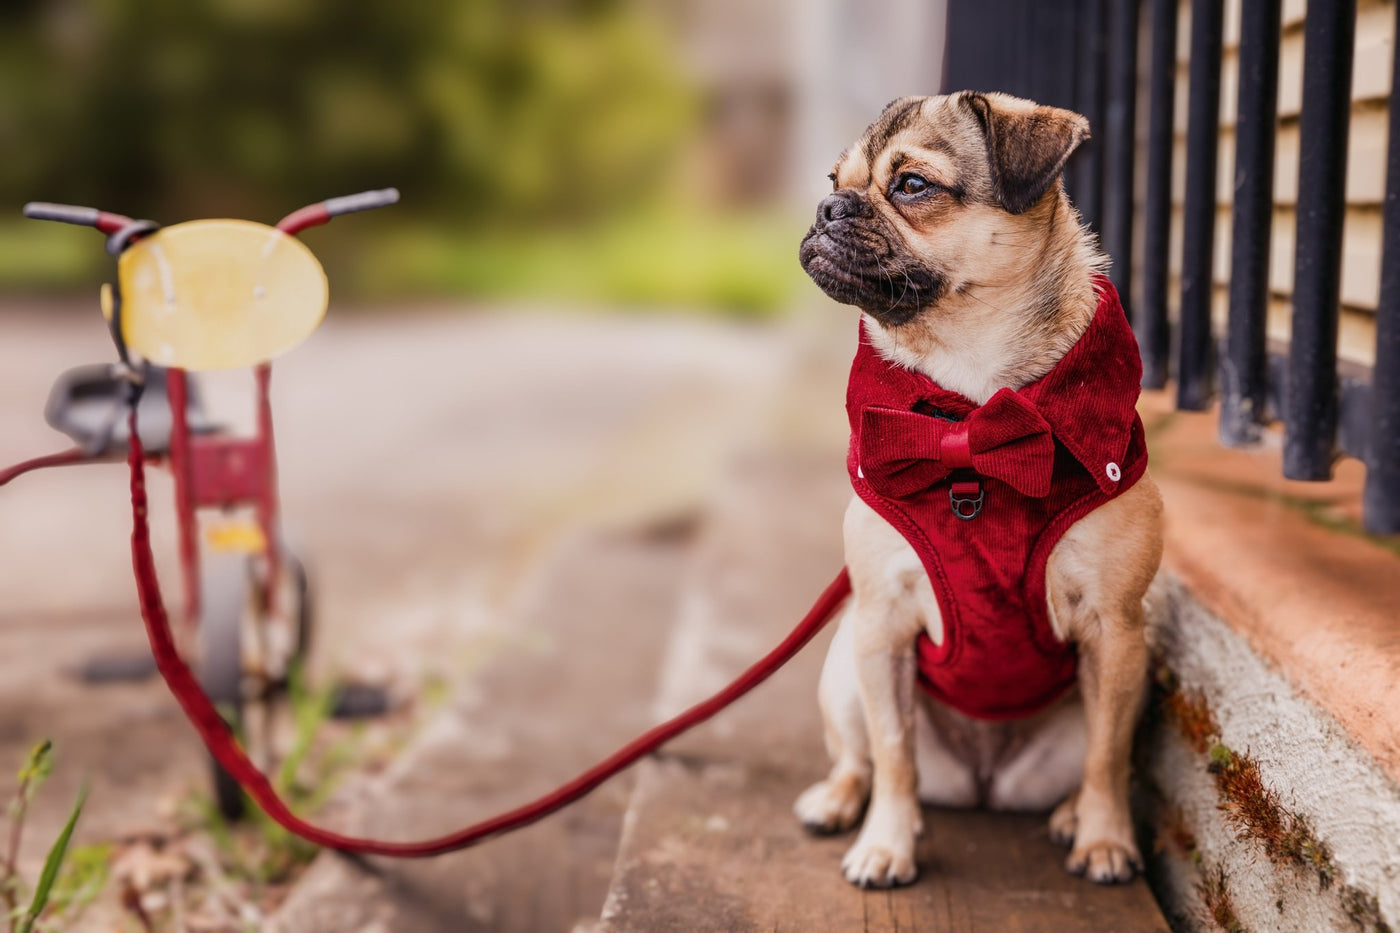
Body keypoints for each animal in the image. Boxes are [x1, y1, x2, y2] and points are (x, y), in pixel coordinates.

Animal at [795, 92, 1164, 885]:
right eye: (835, 178)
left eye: (912, 186)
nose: (828, 205)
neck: (970, 409)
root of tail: (983, 782)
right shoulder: (881, 626)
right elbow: (894, 756)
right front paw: (886, 844)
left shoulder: (1117, 632)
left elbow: (1108, 755)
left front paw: (1105, 838)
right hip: (844, 664)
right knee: (863, 757)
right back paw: (840, 801)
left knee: (1095, 758)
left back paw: (1073, 817)